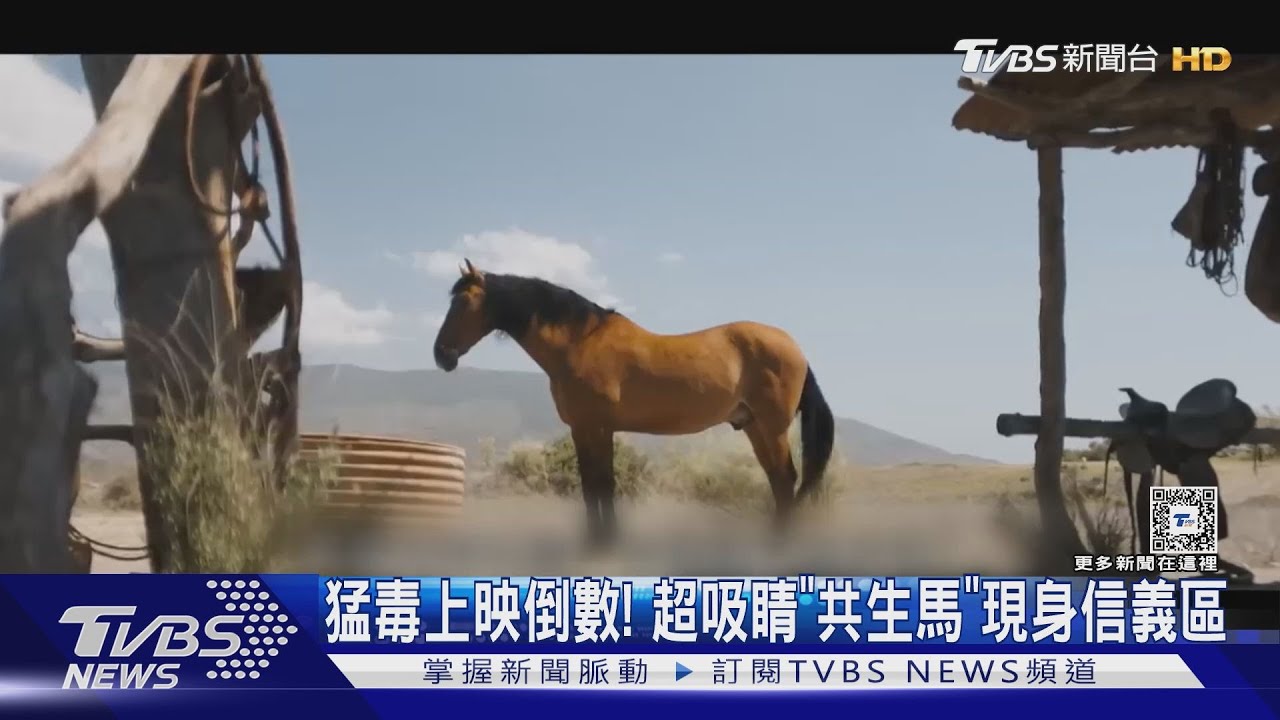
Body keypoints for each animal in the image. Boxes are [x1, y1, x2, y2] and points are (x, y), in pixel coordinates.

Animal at [432, 259, 836, 550]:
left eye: (464, 302)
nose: (441, 355)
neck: (579, 343)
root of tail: (794, 347)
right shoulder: (582, 429)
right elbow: (591, 484)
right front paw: (595, 538)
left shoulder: (597, 427)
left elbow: (603, 483)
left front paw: (605, 541)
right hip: (753, 426)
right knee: (778, 481)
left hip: (772, 427)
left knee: (785, 478)